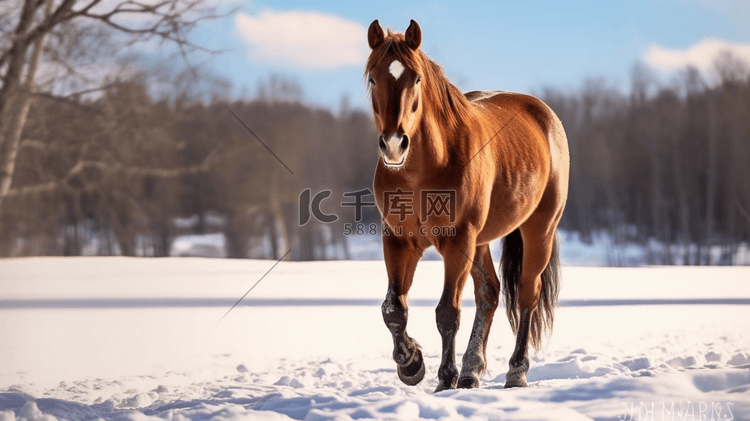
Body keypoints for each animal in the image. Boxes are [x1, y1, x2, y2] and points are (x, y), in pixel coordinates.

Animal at [368, 18, 568, 388]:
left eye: (416, 78)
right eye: (373, 77)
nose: (394, 145)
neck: (426, 167)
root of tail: (545, 117)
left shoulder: (457, 240)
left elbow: (447, 313)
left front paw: (445, 377)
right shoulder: (398, 239)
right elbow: (393, 309)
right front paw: (411, 364)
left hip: (539, 230)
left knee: (527, 295)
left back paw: (515, 371)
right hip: (481, 241)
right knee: (490, 292)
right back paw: (472, 369)